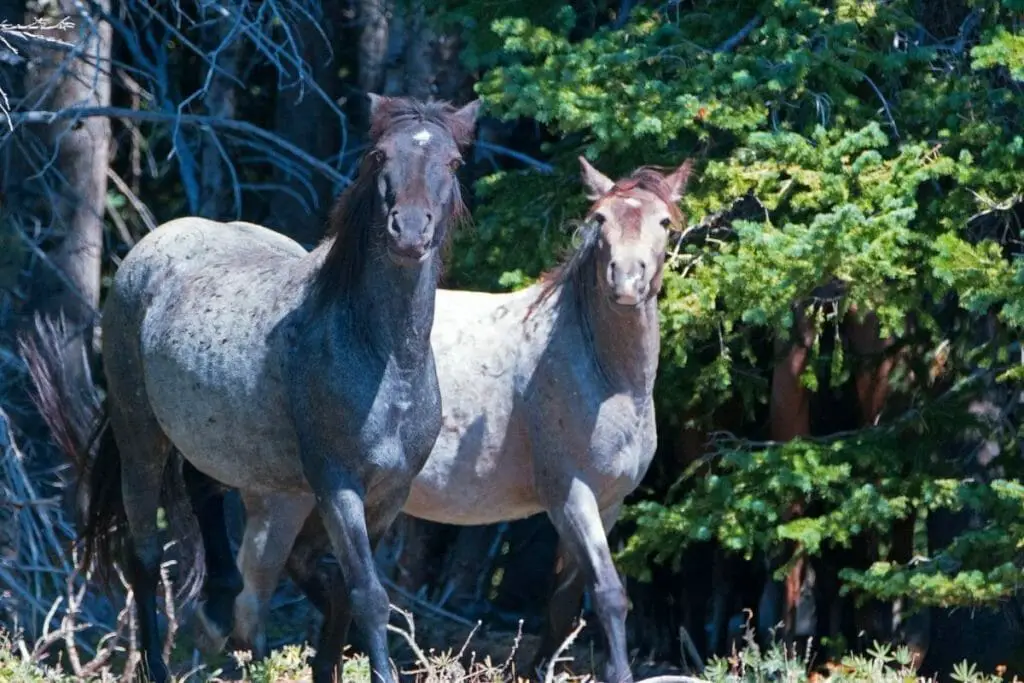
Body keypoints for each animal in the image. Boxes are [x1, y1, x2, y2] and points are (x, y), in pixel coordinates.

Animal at [25, 92, 481, 683]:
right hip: (139, 434)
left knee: (205, 493)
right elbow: (367, 594)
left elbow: (340, 590)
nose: (409, 232)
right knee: (143, 554)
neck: (385, 361)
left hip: (216, 441)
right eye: (380, 155)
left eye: (453, 161)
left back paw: (218, 610)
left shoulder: (390, 493)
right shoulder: (337, 484)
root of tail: (154, 245)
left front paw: (325, 665)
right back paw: (161, 660)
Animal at [211, 156, 700, 683]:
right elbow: (608, 593)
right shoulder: (569, 493)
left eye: (664, 223)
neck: (598, 370)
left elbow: (564, 603)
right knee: (253, 597)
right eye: (600, 219)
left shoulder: (608, 502)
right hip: (284, 499)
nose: (626, 282)